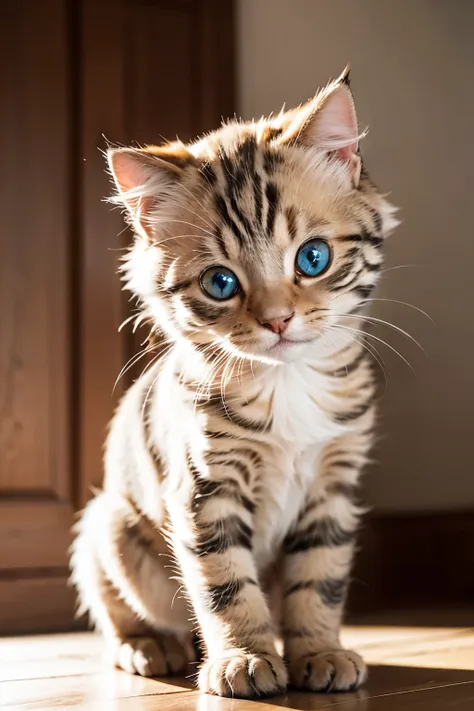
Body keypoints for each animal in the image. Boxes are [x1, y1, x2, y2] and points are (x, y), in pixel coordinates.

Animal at [70, 69, 398, 700]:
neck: (288, 384)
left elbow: (319, 580)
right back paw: (149, 647)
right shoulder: (204, 490)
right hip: (107, 524)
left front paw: (319, 651)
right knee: (117, 609)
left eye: (313, 258)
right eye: (220, 283)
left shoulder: (333, 486)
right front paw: (244, 658)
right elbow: (224, 584)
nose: (277, 320)